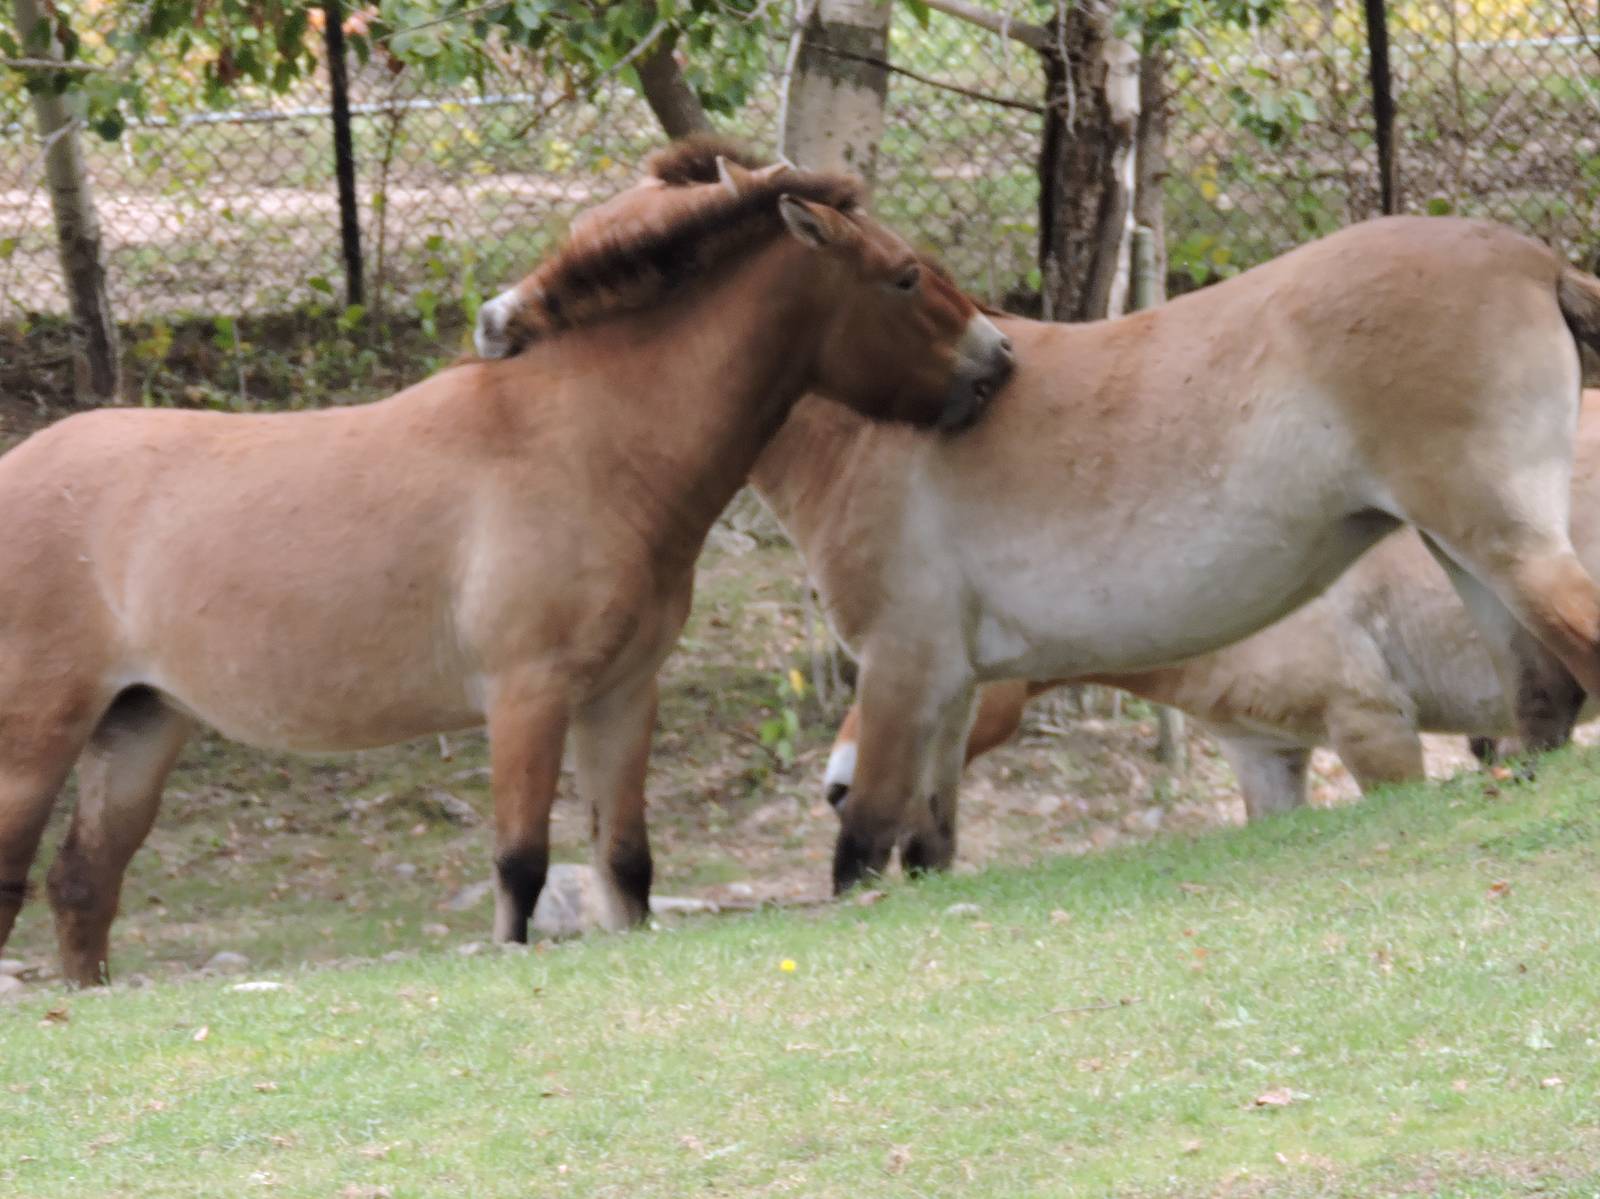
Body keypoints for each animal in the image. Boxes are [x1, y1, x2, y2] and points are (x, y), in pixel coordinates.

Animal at [0, 142, 1015, 986]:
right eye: (905, 276)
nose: (999, 356)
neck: (585, 443)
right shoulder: (529, 697)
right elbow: (521, 869)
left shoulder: (621, 695)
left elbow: (626, 865)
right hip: (37, 739)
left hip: (140, 726)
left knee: (83, 885)